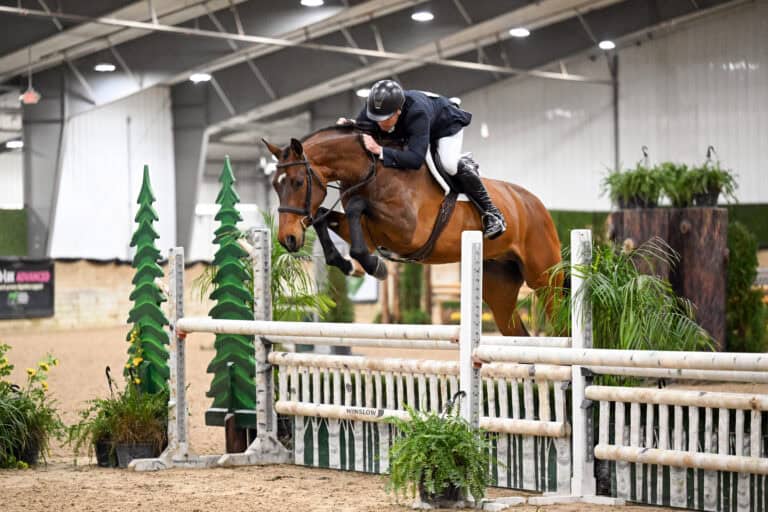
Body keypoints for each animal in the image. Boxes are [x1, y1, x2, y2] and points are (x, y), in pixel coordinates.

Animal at [262, 126, 562, 336]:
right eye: (275, 186)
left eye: (298, 182)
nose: (287, 239)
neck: (373, 170)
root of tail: (535, 204)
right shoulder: (367, 230)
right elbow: (324, 218)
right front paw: (347, 263)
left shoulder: (408, 232)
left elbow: (357, 208)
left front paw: (373, 265)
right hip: (499, 287)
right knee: (519, 335)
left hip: (544, 278)